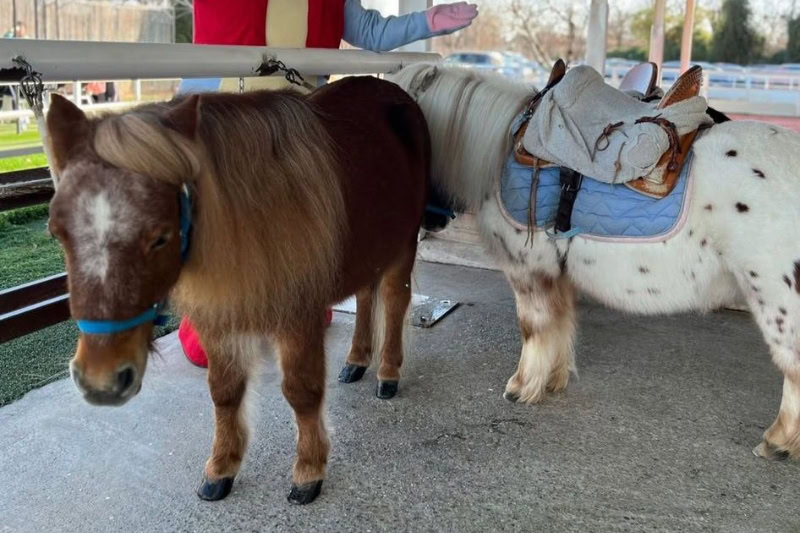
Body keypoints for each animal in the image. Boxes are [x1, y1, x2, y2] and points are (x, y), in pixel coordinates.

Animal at [44, 75, 430, 505]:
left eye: (160, 236)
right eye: (57, 232)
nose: (101, 380)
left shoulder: (298, 319)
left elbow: (302, 391)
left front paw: (309, 470)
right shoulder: (217, 320)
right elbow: (224, 392)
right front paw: (222, 466)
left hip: (403, 245)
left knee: (394, 301)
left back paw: (387, 372)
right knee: (365, 297)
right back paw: (357, 360)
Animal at [390, 63, 800, 461]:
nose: (431, 222)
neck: (501, 146)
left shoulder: (528, 271)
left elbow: (533, 327)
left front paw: (522, 387)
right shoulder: (556, 274)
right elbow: (561, 323)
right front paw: (553, 379)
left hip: (776, 301)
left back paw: (778, 442)